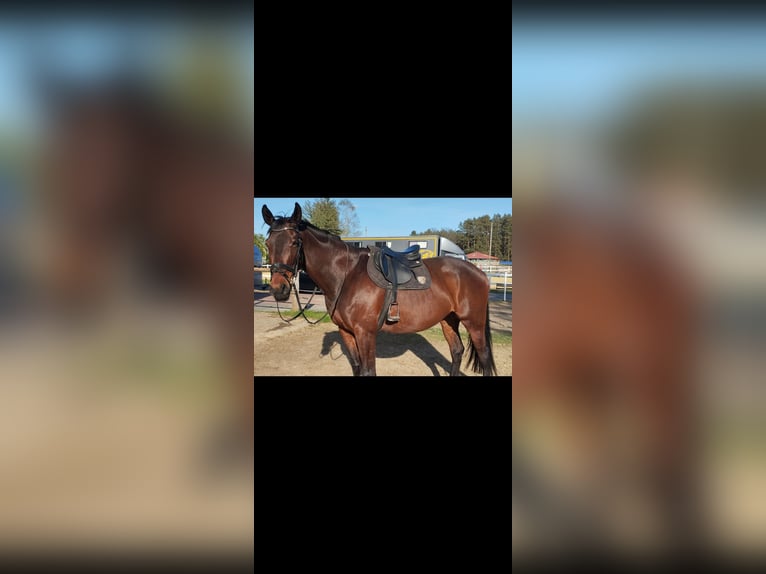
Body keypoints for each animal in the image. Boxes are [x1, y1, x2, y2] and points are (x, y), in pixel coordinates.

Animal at [261, 202, 497, 377]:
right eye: (268, 243)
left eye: (294, 242)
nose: (279, 289)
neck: (346, 275)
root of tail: (478, 272)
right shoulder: (347, 332)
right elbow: (357, 368)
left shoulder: (365, 333)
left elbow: (368, 371)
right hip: (448, 319)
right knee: (457, 352)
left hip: (474, 323)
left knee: (485, 359)